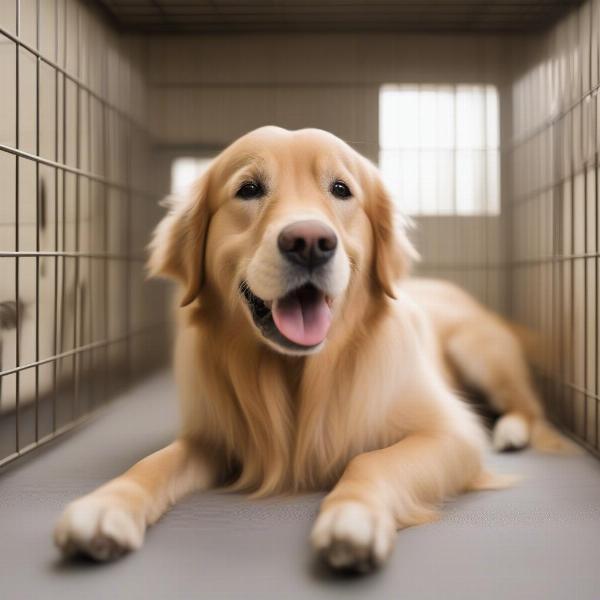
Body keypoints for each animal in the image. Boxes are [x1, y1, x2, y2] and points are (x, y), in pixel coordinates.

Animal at [55, 125, 564, 572]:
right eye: (248, 189)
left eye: (341, 189)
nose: (309, 243)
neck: (298, 372)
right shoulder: (212, 436)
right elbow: (154, 462)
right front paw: (106, 504)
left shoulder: (450, 433)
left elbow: (370, 459)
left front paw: (352, 516)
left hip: (478, 350)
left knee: (530, 406)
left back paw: (511, 431)